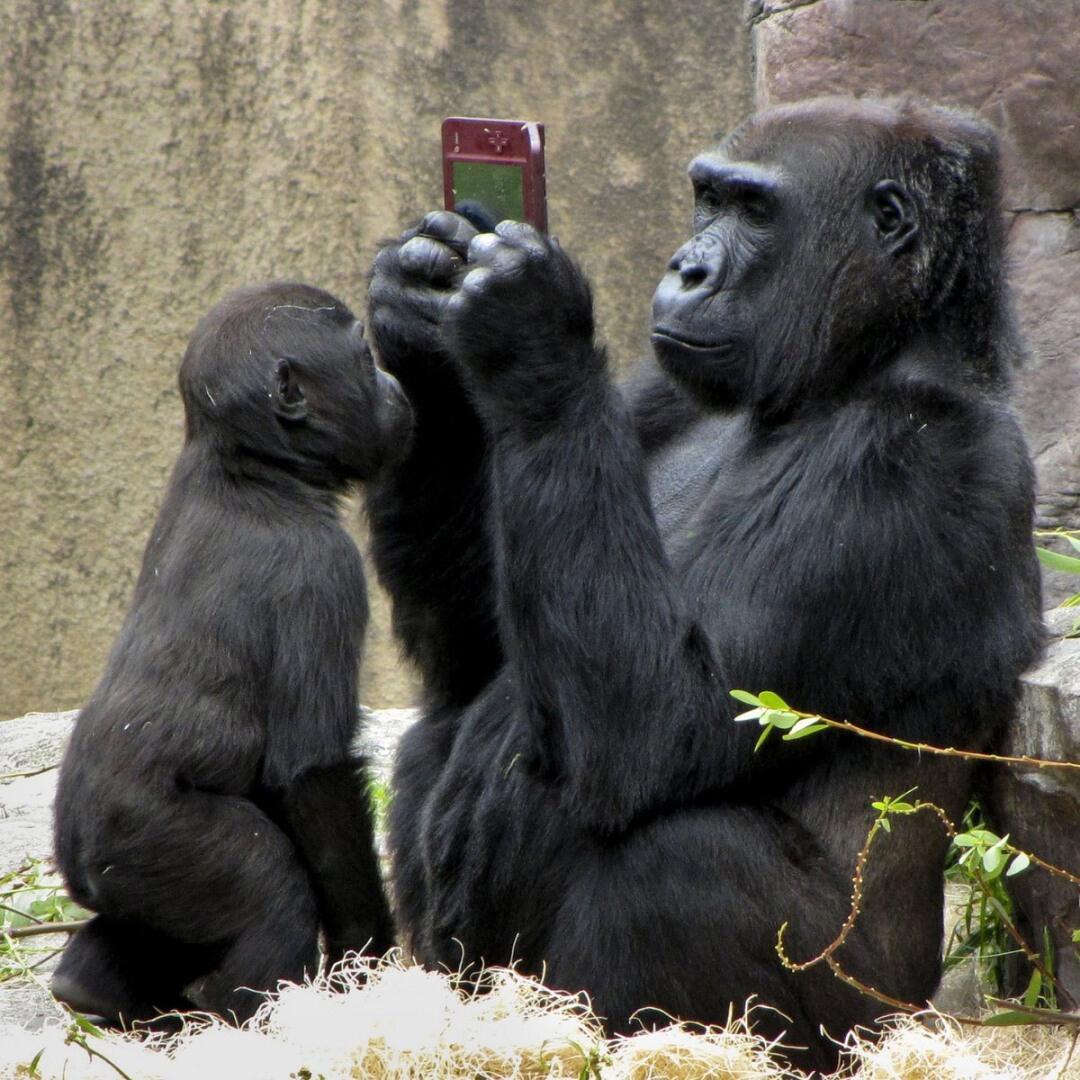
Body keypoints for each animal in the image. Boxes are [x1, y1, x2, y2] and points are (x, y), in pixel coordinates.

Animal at [49, 282, 408, 1023]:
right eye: (364, 359)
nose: (392, 385)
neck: (253, 467)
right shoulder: (323, 574)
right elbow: (312, 774)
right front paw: (365, 955)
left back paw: (90, 987)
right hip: (148, 833)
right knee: (271, 892)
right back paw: (248, 1019)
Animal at [367, 103, 1041, 1071]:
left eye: (755, 211)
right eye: (707, 198)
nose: (686, 268)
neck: (856, 365)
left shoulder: (909, 464)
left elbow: (658, 728)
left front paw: (526, 331)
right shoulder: (664, 390)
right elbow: (474, 652)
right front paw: (417, 312)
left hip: (866, 1028)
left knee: (676, 857)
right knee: (446, 723)